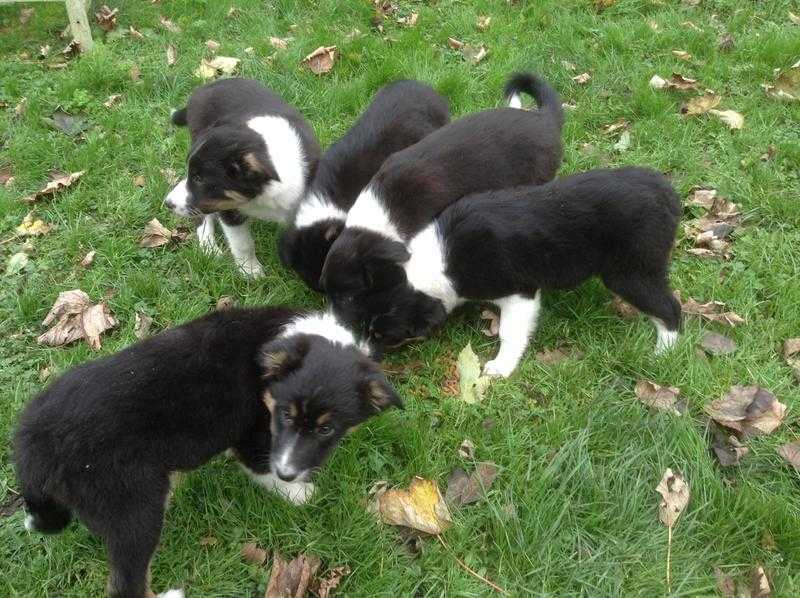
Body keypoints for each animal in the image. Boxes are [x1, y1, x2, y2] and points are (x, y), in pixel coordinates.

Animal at [14, 308, 398, 596]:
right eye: (286, 416)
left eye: (326, 429)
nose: (291, 472)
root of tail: (33, 443)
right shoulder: (255, 432)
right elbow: (261, 467)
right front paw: (298, 493)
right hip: (133, 507)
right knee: (126, 584)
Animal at [164, 77, 320, 278]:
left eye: (199, 179)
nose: (168, 203)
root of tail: (202, 89)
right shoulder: (226, 208)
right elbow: (242, 243)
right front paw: (251, 272)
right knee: (201, 219)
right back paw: (210, 249)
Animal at [342, 166, 680, 378]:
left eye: (386, 336)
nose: (361, 358)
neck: (439, 262)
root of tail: (667, 193)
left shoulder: (520, 293)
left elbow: (510, 332)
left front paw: (500, 368)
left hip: (630, 272)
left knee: (671, 309)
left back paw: (663, 353)